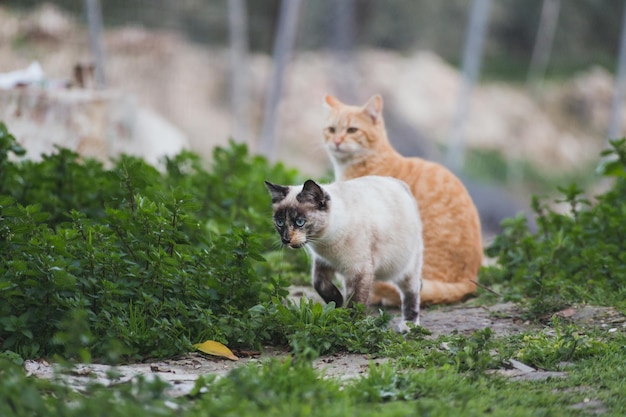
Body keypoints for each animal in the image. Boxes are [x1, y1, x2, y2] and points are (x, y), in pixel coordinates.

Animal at [264, 174, 424, 330]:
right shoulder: (323, 263)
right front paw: (337, 302)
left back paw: (409, 325)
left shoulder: (358, 270)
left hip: (404, 269)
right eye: (280, 223)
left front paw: (351, 325)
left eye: (299, 222)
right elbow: (319, 284)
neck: (323, 242)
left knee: (412, 292)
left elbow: (356, 303)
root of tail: (399, 183)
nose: (286, 239)